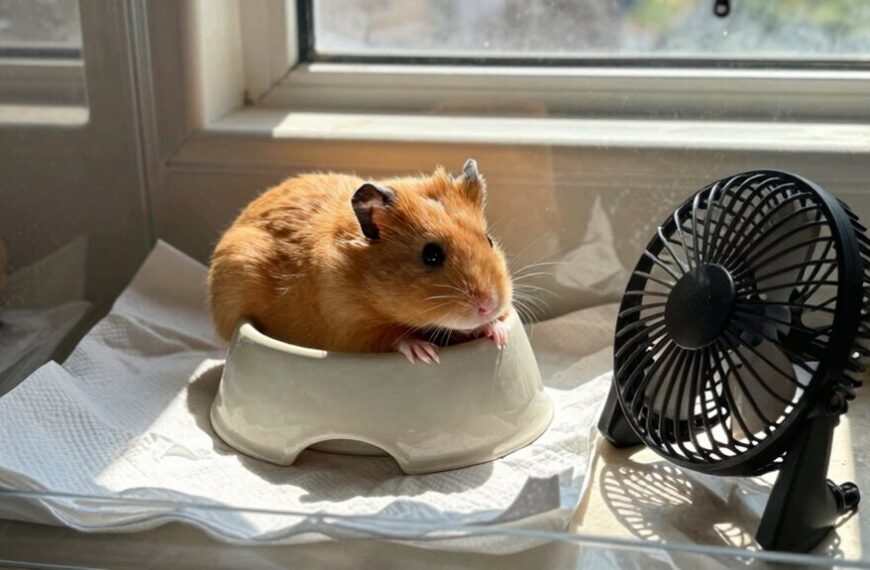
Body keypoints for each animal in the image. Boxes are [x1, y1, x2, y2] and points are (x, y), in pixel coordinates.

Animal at [208, 159, 513, 364]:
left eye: (489, 240)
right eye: (431, 255)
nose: (489, 305)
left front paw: (498, 334)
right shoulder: (349, 325)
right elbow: (395, 337)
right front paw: (425, 353)